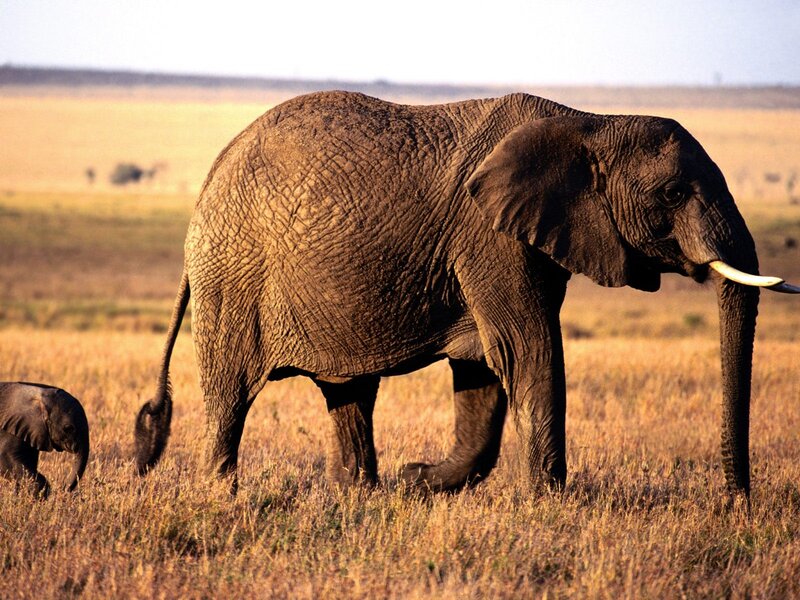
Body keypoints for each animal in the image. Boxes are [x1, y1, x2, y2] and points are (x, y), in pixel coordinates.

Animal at [134, 91, 798, 497]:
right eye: (673, 194)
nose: (736, 502)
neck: (588, 120)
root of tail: (208, 181)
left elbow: (483, 369)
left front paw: (417, 479)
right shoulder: (489, 237)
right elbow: (527, 351)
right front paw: (549, 505)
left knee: (349, 394)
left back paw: (361, 494)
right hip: (233, 278)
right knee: (231, 395)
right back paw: (223, 497)